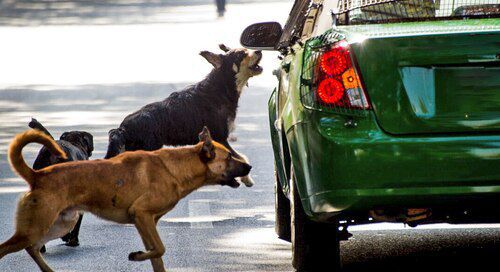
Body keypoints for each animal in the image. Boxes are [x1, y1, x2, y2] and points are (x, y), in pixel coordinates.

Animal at [105, 44, 262, 188]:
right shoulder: (220, 138)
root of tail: (122, 129)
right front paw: (247, 178)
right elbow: (241, 157)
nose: (259, 51)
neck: (221, 88)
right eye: (241, 54)